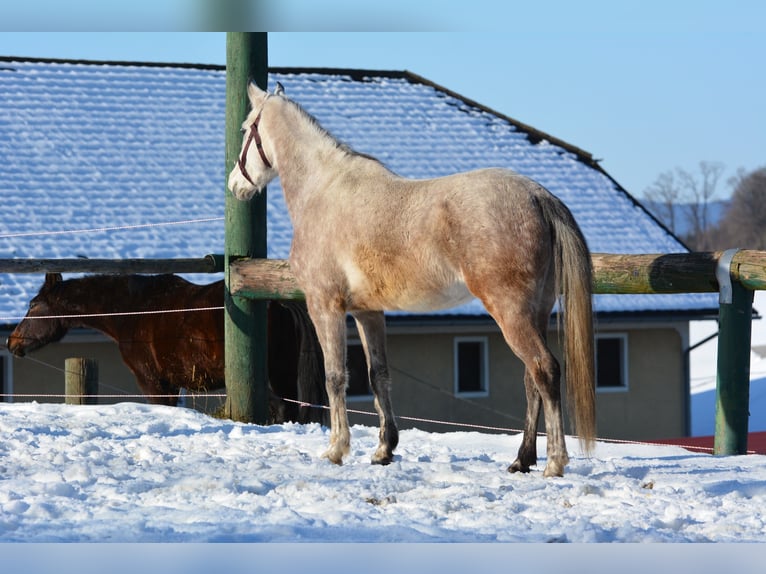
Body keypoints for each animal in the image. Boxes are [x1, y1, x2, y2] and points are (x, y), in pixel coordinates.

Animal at [6, 273, 327, 425]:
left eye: (34, 305)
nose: (12, 342)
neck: (133, 310)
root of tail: (280, 302)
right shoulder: (171, 385)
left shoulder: (152, 382)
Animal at [227, 82, 596, 477]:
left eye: (245, 129)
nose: (235, 185)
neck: (323, 192)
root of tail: (537, 195)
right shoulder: (368, 312)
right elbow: (378, 375)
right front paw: (383, 450)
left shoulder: (325, 305)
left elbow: (335, 376)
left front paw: (336, 449)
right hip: (536, 311)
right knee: (531, 380)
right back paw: (522, 459)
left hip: (511, 312)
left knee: (544, 370)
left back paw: (554, 462)